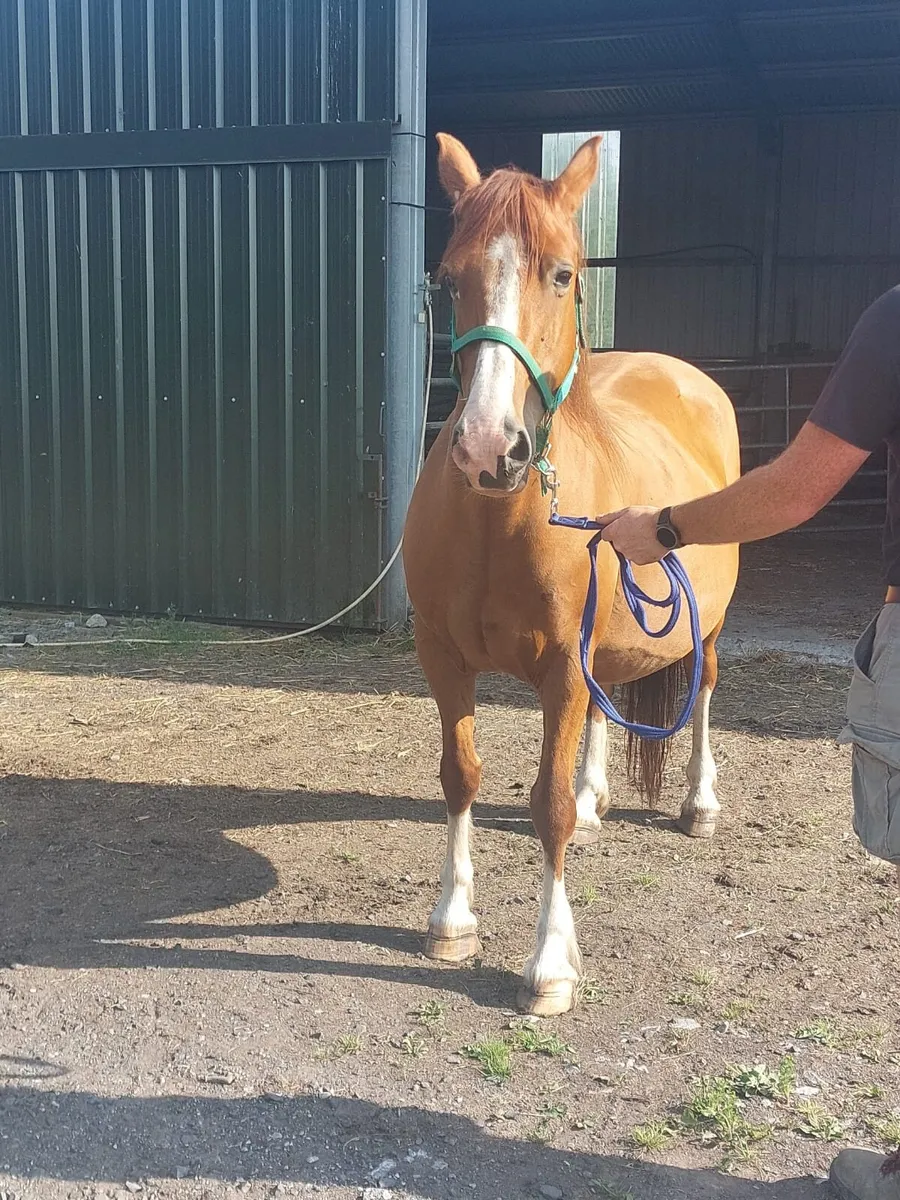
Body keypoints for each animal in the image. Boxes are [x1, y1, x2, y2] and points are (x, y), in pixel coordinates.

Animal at [402, 133, 740, 1016]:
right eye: (449, 276)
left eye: (561, 274)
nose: (490, 447)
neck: (499, 520)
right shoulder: (443, 659)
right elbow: (460, 777)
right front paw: (452, 918)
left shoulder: (560, 668)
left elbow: (545, 809)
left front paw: (550, 962)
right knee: (604, 704)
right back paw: (597, 799)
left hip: (709, 627)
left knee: (703, 691)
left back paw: (697, 804)